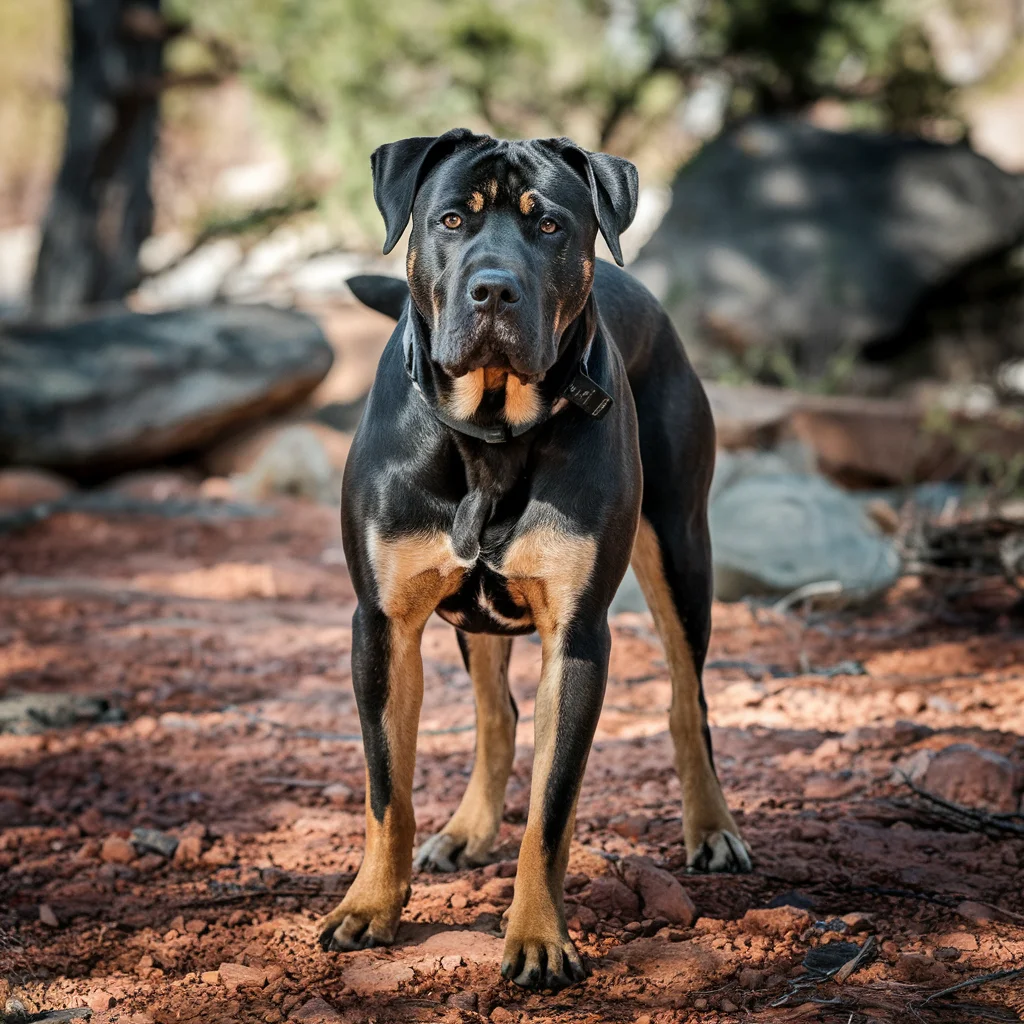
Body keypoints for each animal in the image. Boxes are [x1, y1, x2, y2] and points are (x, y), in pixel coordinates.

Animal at [321, 128, 753, 991]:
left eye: (549, 225)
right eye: (452, 219)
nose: (494, 290)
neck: (492, 433)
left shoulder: (578, 638)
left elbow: (552, 812)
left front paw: (538, 937)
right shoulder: (381, 626)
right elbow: (387, 789)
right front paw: (371, 906)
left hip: (681, 549)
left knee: (687, 701)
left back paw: (711, 827)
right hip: (475, 615)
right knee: (497, 713)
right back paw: (466, 829)